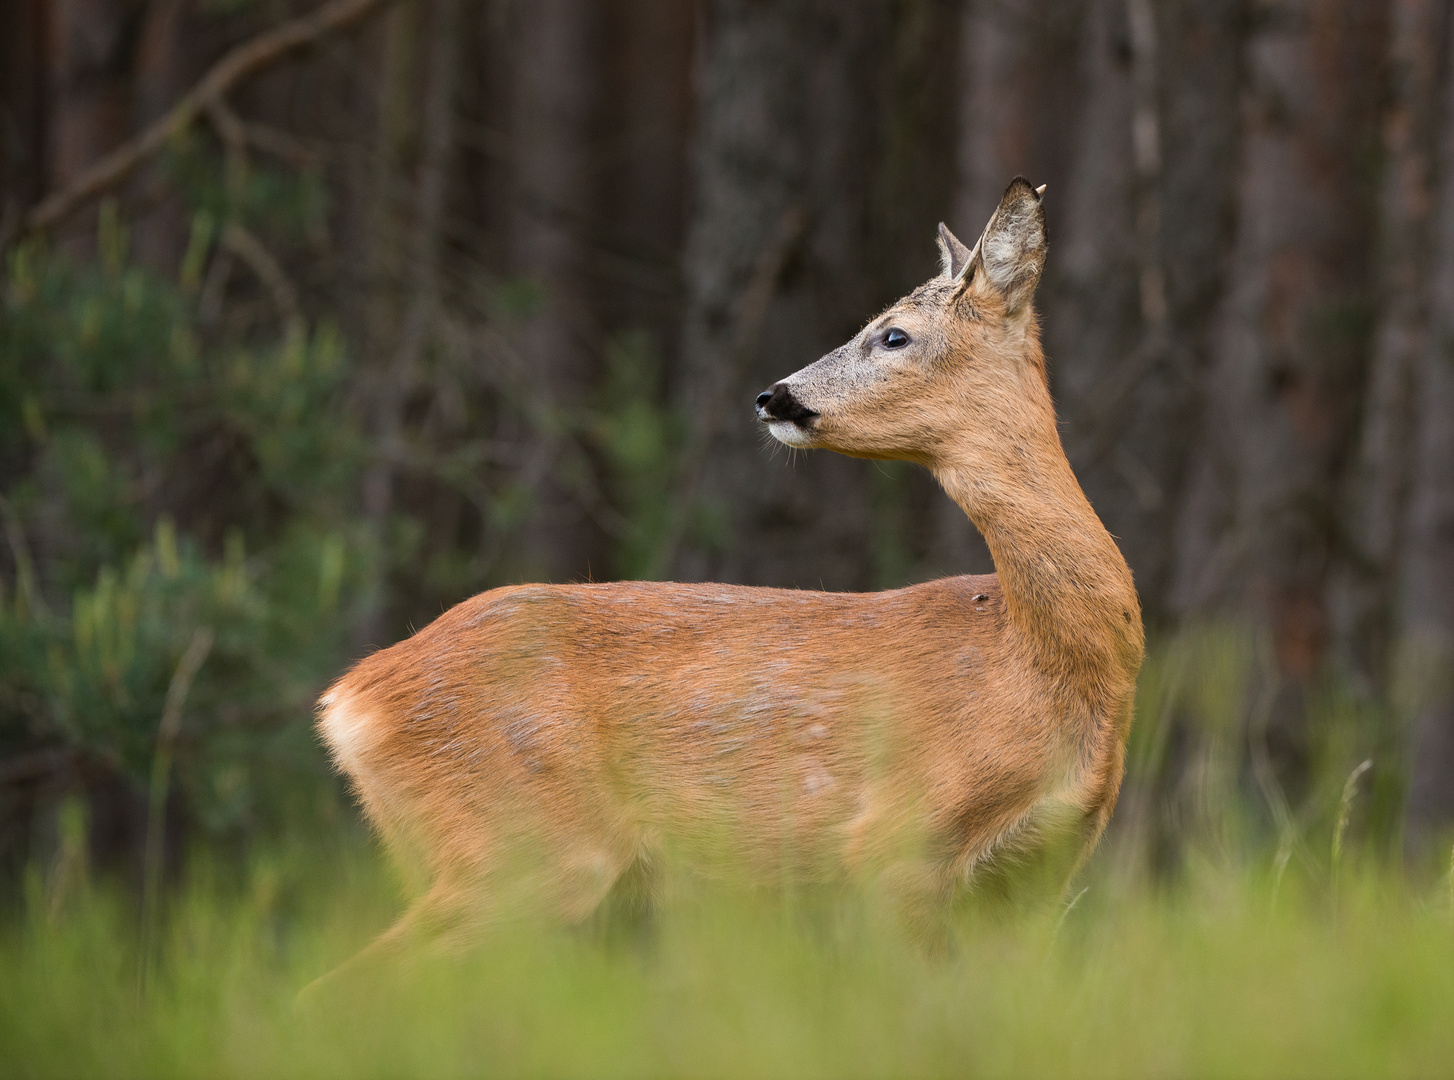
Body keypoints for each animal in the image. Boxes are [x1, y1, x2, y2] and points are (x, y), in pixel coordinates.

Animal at [318, 179, 1145, 965]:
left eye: (894, 334)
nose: (774, 395)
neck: (1033, 663)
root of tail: (348, 701)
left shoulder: (1042, 871)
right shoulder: (892, 845)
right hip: (522, 847)